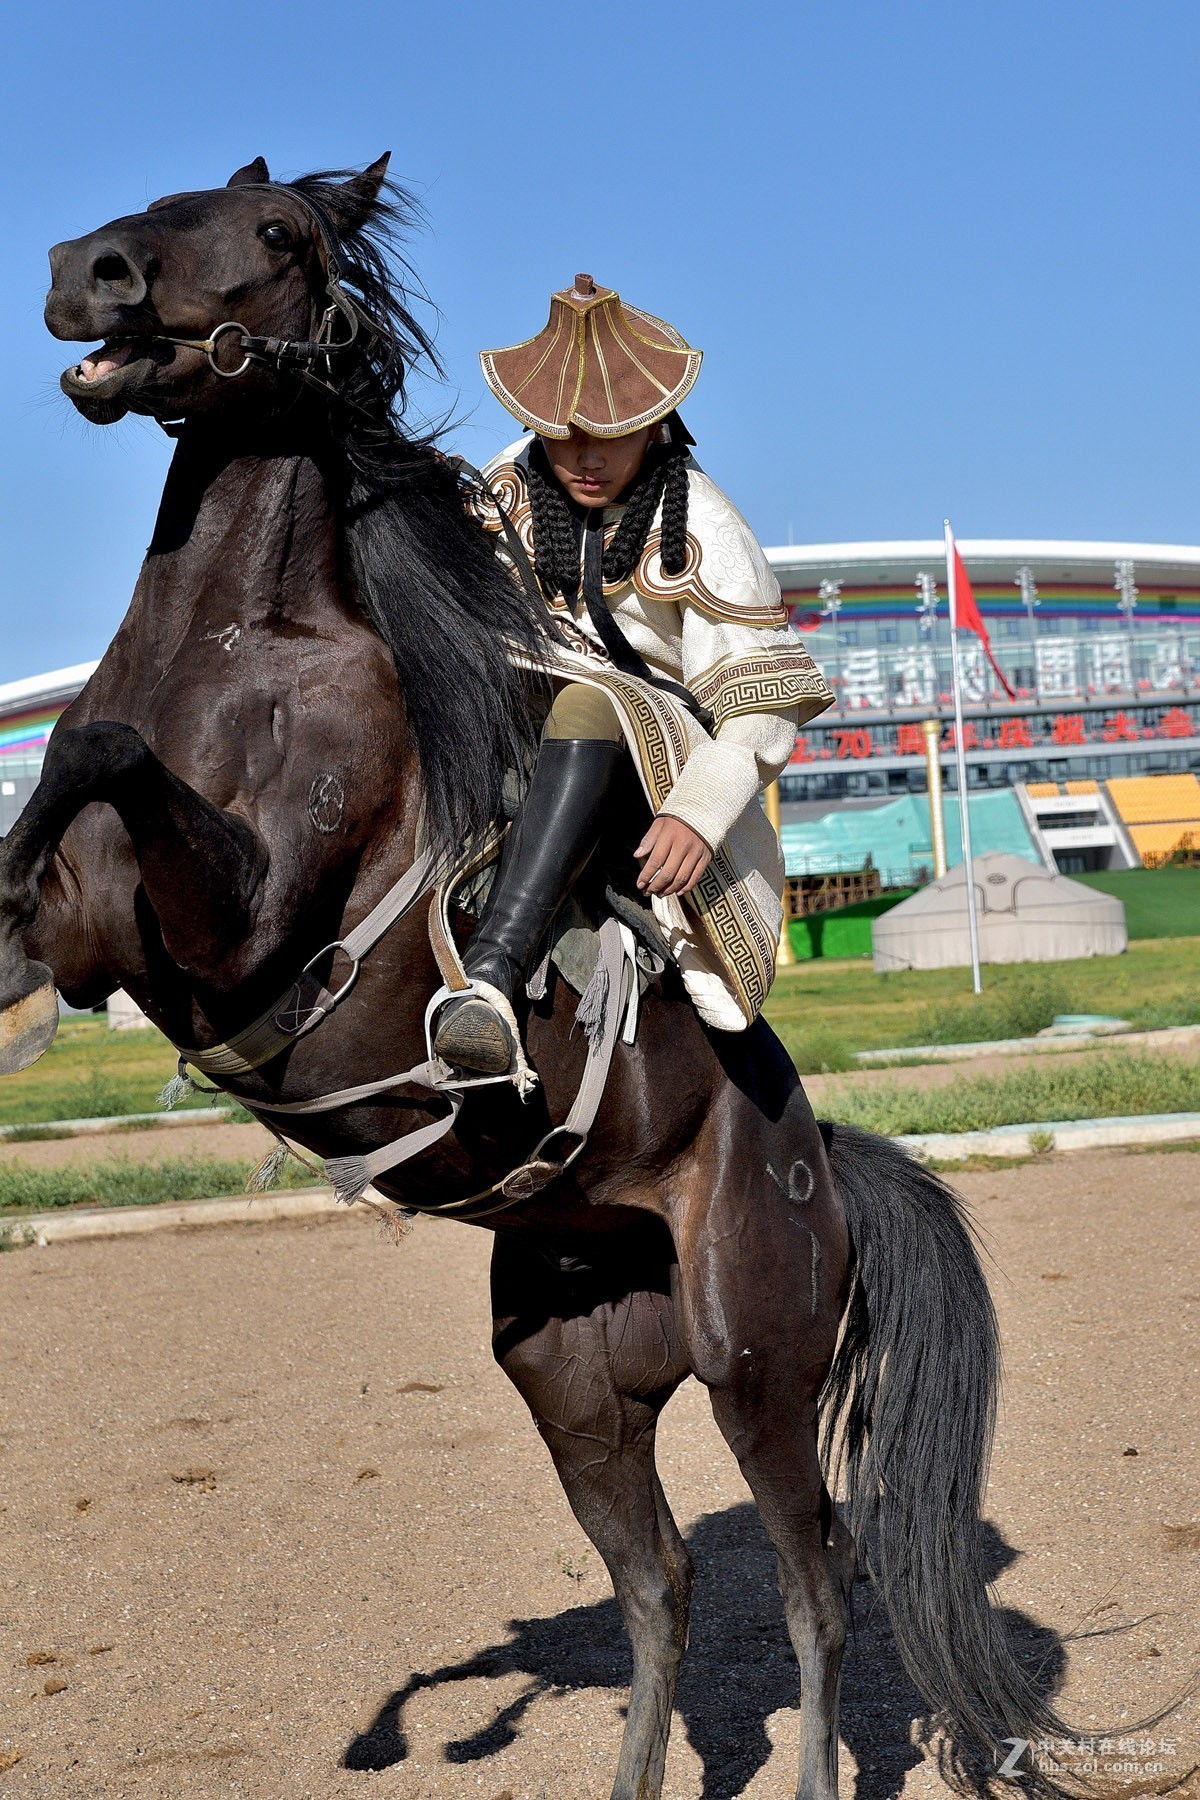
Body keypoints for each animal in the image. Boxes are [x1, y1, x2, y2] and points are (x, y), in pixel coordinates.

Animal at [0, 156, 1105, 1800]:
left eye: (275, 234)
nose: (90, 270)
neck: (244, 652)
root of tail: (822, 1161)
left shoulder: (241, 935)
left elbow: (104, 752)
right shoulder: (99, 940)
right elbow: (61, 812)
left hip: (753, 1367)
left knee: (812, 1584)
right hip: (573, 1381)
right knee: (659, 1586)